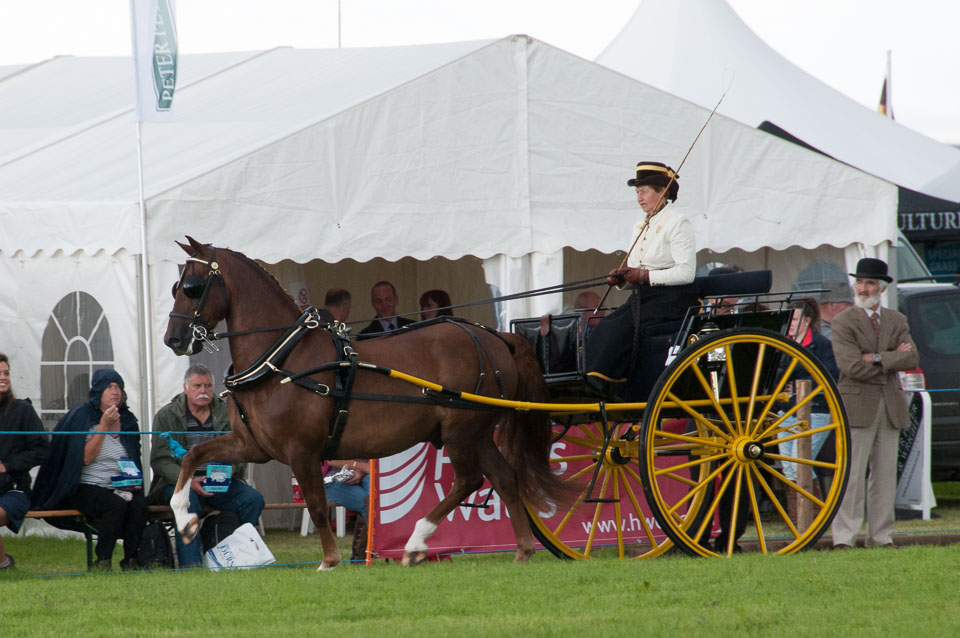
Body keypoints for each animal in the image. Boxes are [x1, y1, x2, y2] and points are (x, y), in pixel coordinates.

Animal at [161, 239, 560, 568]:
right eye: (176, 287)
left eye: (194, 288)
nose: (173, 339)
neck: (281, 357)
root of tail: (495, 337)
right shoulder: (253, 446)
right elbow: (193, 456)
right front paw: (185, 521)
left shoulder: (301, 450)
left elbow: (318, 505)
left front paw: (329, 561)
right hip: (477, 433)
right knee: (505, 478)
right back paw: (523, 550)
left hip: (461, 429)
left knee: (468, 480)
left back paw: (416, 542)